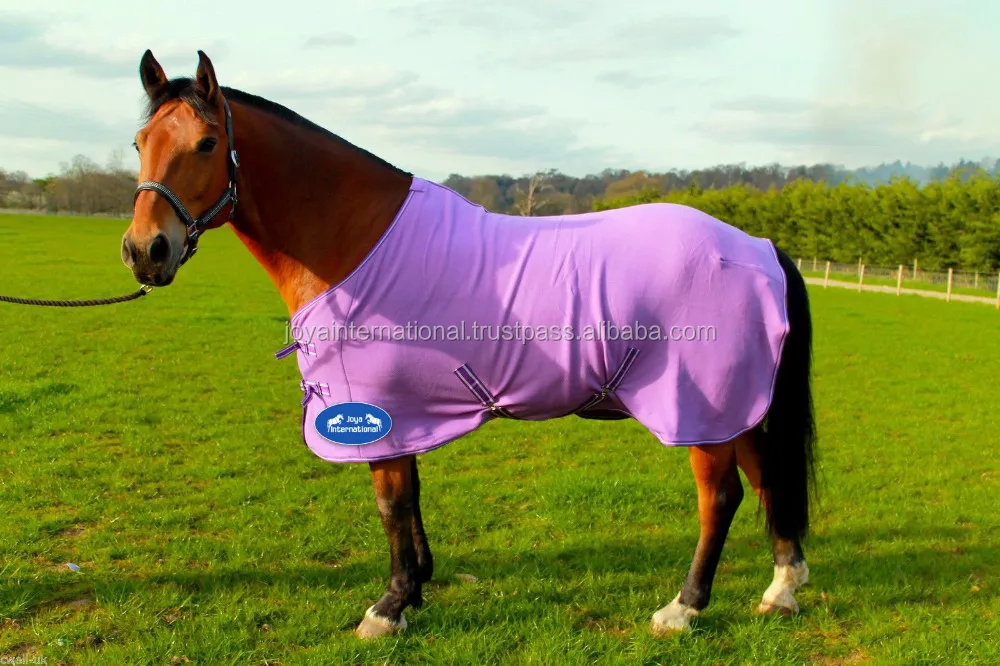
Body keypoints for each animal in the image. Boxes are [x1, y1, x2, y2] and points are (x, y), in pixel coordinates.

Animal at [122, 50, 816, 639]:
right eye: (140, 143)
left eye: (208, 143)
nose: (144, 250)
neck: (356, 241)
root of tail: (758, 248)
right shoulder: (405, 414)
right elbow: (410, 499)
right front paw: (417, 587)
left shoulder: (378, 408)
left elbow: (391, 503)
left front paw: (388, 607)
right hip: (736, 405)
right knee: (766, 480)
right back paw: (781, 589)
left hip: (701, 407)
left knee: (720, 497)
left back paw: (684, 608)